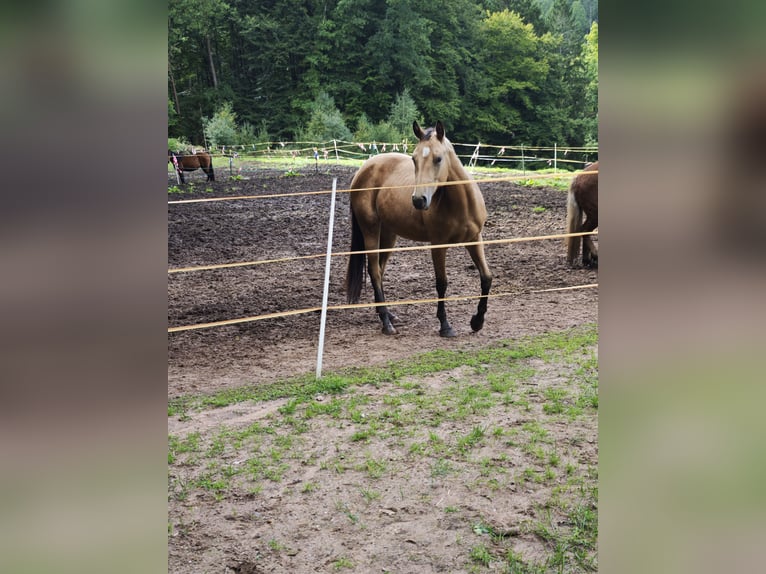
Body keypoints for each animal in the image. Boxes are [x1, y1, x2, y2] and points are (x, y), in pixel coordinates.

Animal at [346, 121, 492, 337]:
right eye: (414, 159)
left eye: (438, 158)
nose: (418, 200)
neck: (461, 204)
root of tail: (363, 169)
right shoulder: (438, 245)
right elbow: (442, 283)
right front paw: (445, 326)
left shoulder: (475, 240)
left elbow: (486, 278)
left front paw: (477, 321)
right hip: (370, 230)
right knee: (375, 271)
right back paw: (386, 322)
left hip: (388, 235)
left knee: (379, 270)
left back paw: (387, 315)